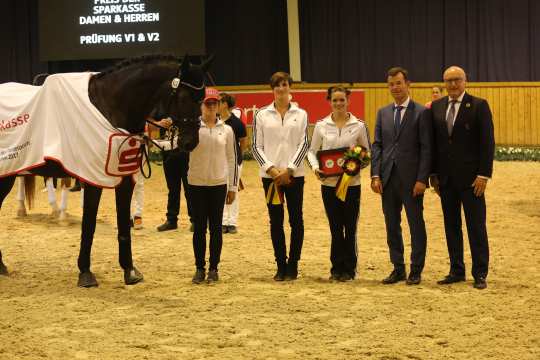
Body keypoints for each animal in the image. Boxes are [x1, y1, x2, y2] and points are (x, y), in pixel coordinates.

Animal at [0, 54, 210, 286]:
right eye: (185, 97)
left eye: (201, 98)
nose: (191, 142)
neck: (109, 107)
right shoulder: (92, 178)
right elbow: (89, 224)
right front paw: (85, 273)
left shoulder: (123, 177)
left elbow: (123, 223)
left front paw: (129, 270)